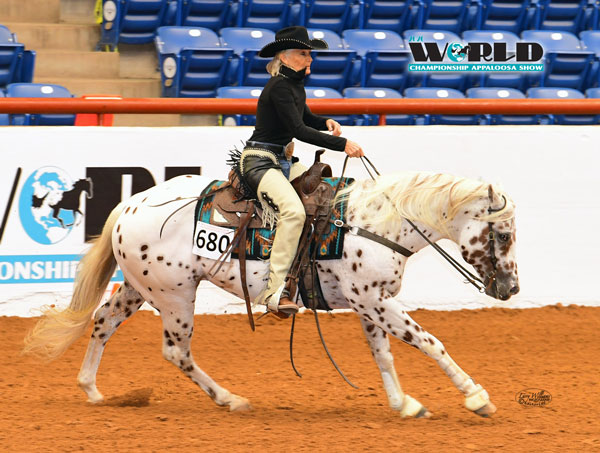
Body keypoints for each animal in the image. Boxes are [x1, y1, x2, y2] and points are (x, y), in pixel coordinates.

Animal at [25, 170, 516, 416]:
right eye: (504, 234)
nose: (511, 288)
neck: (372, 223)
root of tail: (129, 204)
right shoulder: (376, 301)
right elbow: (430, 342)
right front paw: (476, 397)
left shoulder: (368, 303)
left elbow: (384, 354)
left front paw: (403, 403)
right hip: (176, 297)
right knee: (176, 352)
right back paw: (230, 399)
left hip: (139, 287)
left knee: (103, 321)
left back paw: (91, 389)